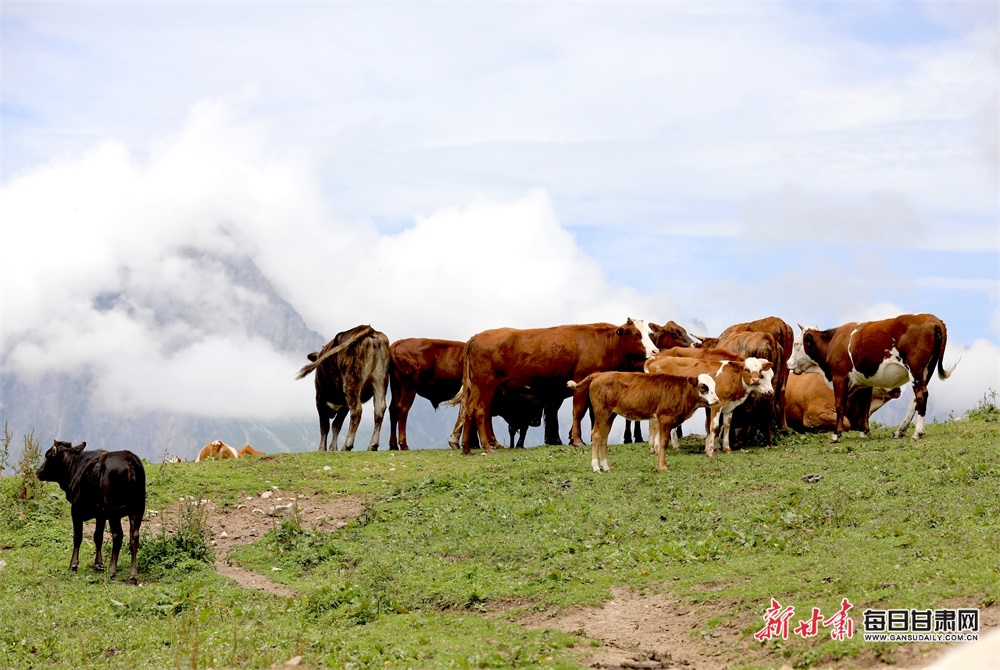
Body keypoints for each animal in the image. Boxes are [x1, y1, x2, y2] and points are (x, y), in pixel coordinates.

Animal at [36, 440, 146, 584]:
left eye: (48, 455)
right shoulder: (100, 514)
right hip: (138, 509)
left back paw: (112, 571)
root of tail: (131, 461)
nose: (38, 472)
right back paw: (132, 575)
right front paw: (98, 565)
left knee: (118, 535)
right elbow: (98, 536)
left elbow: (77, 537)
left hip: (114, 511)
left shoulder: (76, 510)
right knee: (134, 538)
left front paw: (73, 565)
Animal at [294, 324, 388, 452]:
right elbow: (336, 426)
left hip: (352, 381)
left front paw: (322, 449)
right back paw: (372, 445)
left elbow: (325, 426)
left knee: (357, 410)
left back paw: (347, 445)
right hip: (380, 379)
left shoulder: (319, 399)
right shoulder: (344, 406)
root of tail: (368, 328)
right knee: (379, 409)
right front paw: (333, 448)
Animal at [458, 322, 660, 456]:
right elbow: (578, 411)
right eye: (636, 334)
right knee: (480, 412)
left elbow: (591, 413)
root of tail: (476, 337)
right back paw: (486, 446)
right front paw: (577, 440)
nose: (655, 351)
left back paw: (469, 447)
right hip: (486, 384)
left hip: (480, 387)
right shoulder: (580, 381)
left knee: (470, 411)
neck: (603, 342)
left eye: (648, 333)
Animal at [572, 372, 720, 472]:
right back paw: (596, 467)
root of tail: (600, 374)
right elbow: (663, 442)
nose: (716, 400)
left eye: (714, 386)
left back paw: (606, 467)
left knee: (604, 437)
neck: (681, 392)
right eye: (703, 386)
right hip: (601, 413)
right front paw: (663, 466)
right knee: (596, 435)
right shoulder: (664, 419)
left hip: (610, 415)